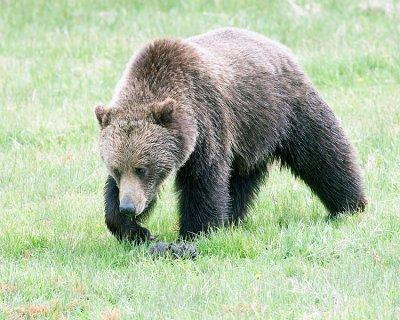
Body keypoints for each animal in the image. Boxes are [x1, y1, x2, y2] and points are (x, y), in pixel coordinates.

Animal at [95, 28, 368, 242]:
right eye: (116, 168)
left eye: (142, 168)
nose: (129, 207)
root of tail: (275, 45)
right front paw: (133, 230)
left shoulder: (208, 123)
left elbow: (203, 180)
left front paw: (195, 233)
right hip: (251, 136)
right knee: (240, 179)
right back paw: (232, 218)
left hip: (287, 109)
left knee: (323, 154)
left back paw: (349, 205)